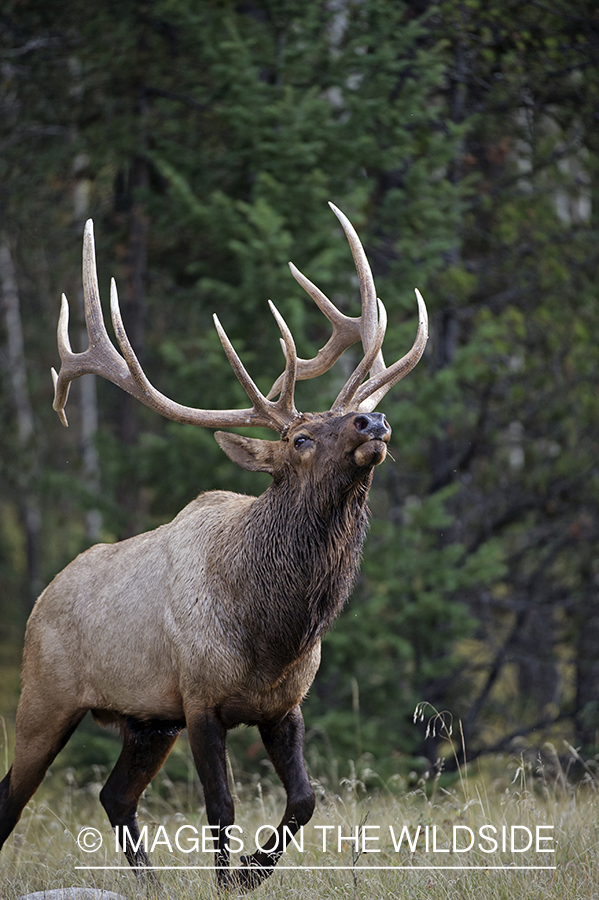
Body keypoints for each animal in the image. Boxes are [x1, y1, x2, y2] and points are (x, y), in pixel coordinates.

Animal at [0, 202, 426, 884]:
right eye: (300, 437)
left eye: (351, 414)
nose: (373, 420)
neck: (273, 631)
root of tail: (42, 599)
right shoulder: (200, 699)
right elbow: (221, 805)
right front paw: (230, 876)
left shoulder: (282, 705)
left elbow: (305, 799)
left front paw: (253, 868)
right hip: (45, 694)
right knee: (13, 797)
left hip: (147, 720)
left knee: (115, 794)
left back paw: (149, 884)